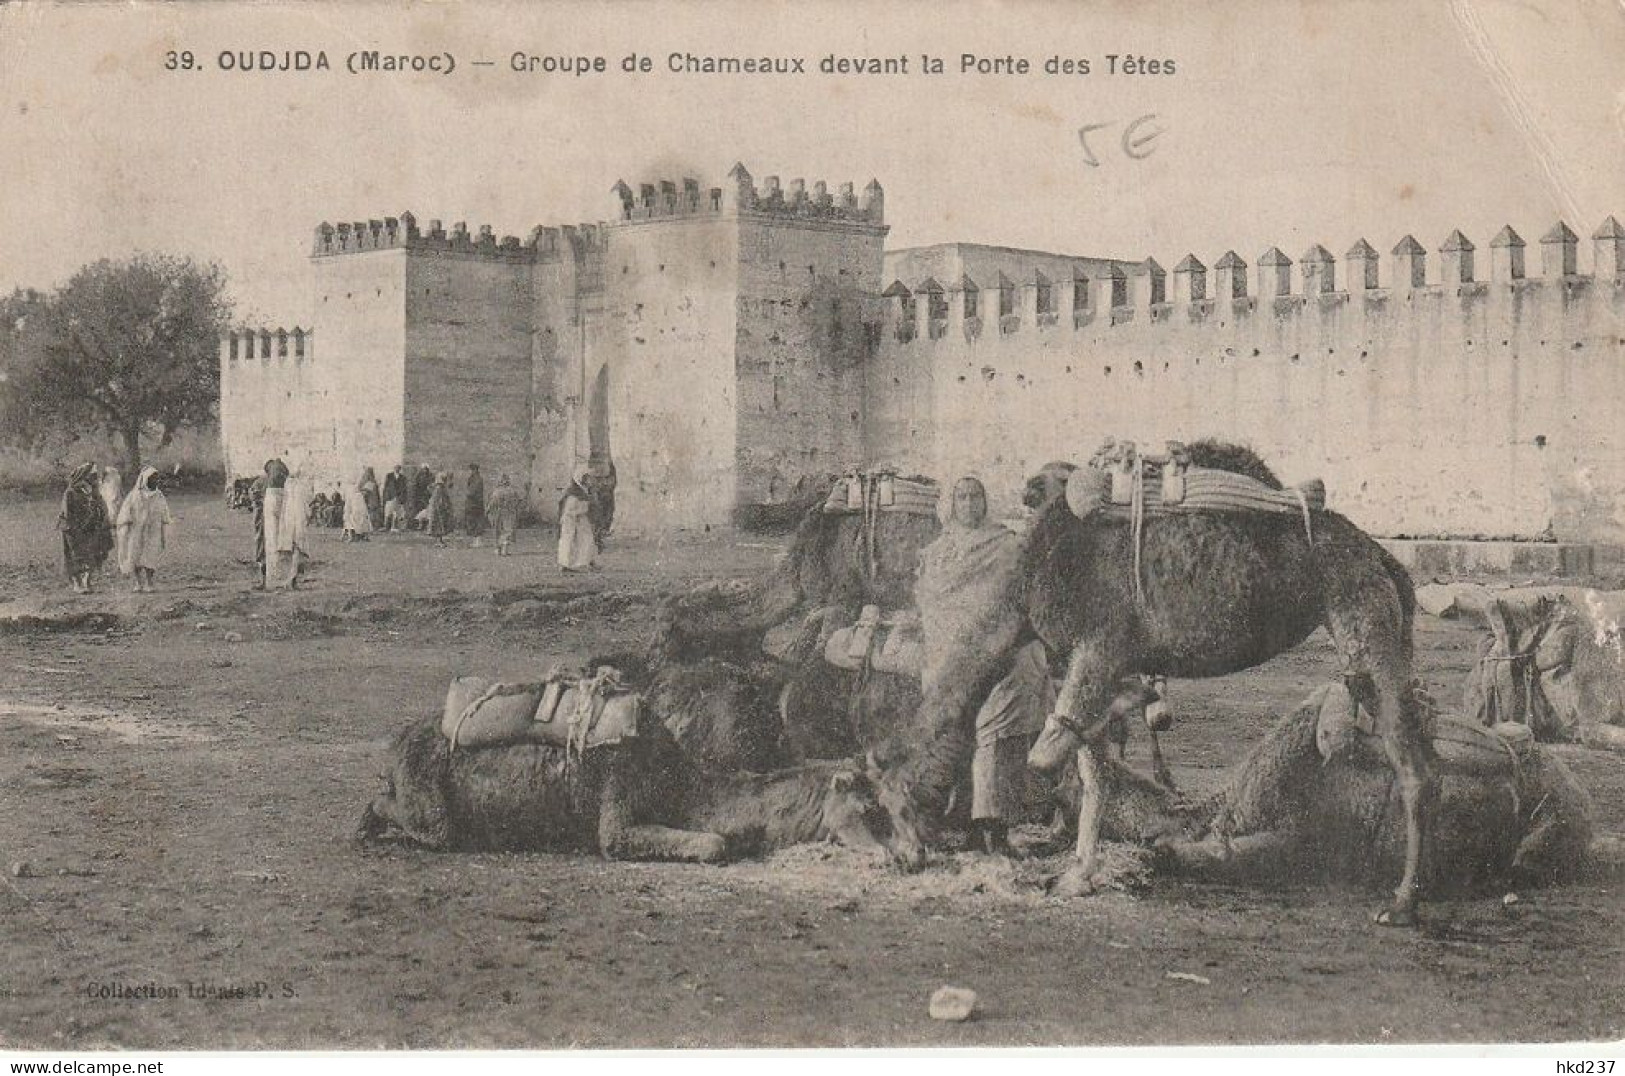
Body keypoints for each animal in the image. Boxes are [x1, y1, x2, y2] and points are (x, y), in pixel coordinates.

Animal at [877, 442, 1436, 929]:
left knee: (1410, 763)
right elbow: (1091, 764)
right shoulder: (1093, 656)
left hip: (1364, 621)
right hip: (1379, 637)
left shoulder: (1098, 646)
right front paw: (1079, 875)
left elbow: (1052, 756)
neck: (1026, 588)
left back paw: (1401, 905)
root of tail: (1383, 558)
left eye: (889, 797)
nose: (902, 856)